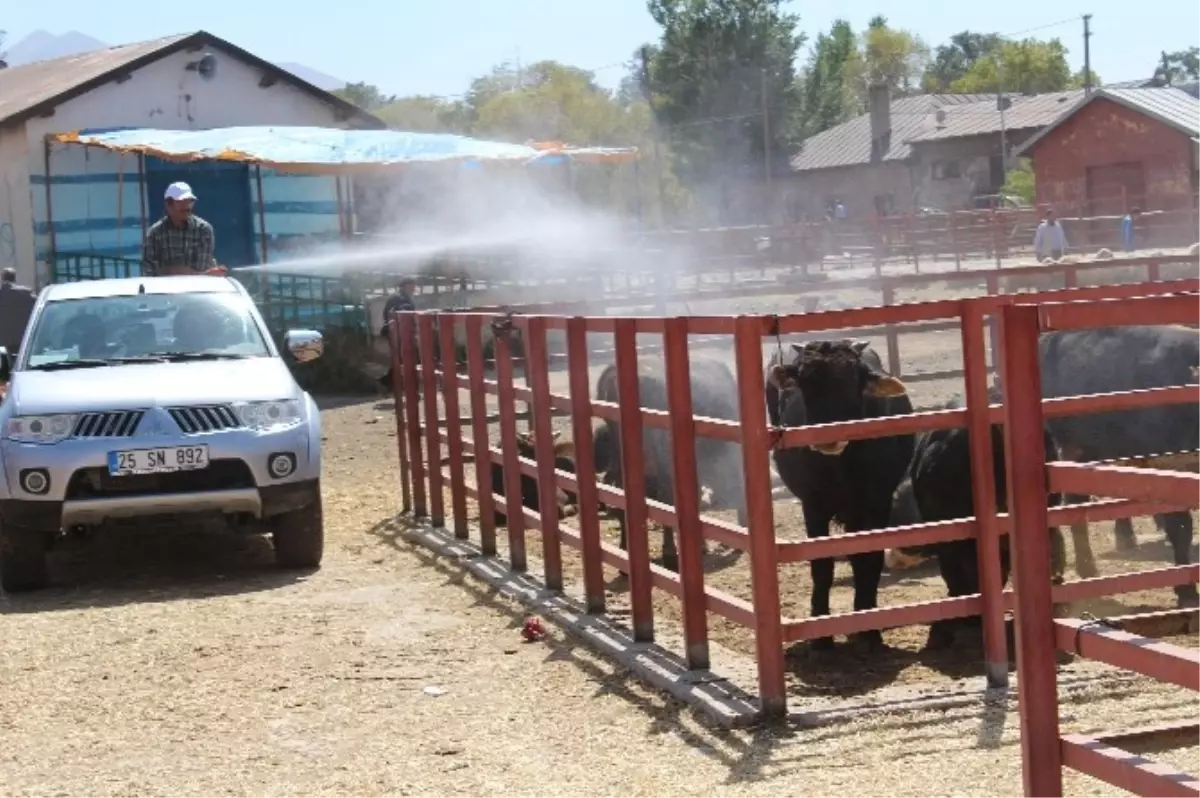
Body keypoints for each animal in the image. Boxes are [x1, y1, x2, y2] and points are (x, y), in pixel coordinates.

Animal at [763, 338, 912, 652]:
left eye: (852, 382)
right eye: (805, 382)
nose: (827, 439)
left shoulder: (876, 503)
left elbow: (869, 558)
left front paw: (868, 630)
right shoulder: (813, 506)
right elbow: (822, 565)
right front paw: (821, 635)